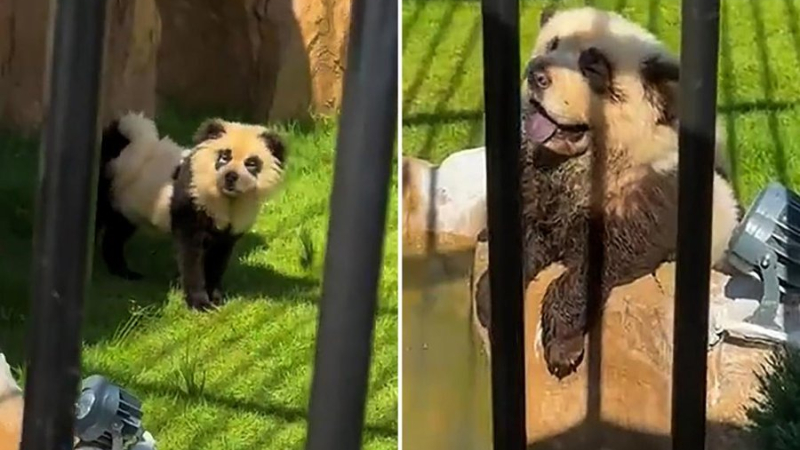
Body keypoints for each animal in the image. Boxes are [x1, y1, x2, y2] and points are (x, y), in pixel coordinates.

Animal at [95, 112, 287, 311]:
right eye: (224, 157)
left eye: (251, 163)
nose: (230, 177)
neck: (225, 199)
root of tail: (119, 142)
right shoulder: (190, 206)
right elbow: (191, 258)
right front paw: (199, 303)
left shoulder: (228, 231)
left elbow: (218, 260)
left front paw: (216, 299)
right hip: (109, 187)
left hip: (128, 205)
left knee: (116, 235)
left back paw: (124, 272)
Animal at [474, 7, 741, 379]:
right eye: (552, 44)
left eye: (593, 68)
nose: (536, 75)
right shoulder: (537, 186)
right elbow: (521, 232)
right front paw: (491, 300)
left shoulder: (651, 193)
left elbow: (603, 259)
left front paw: (563, 347)